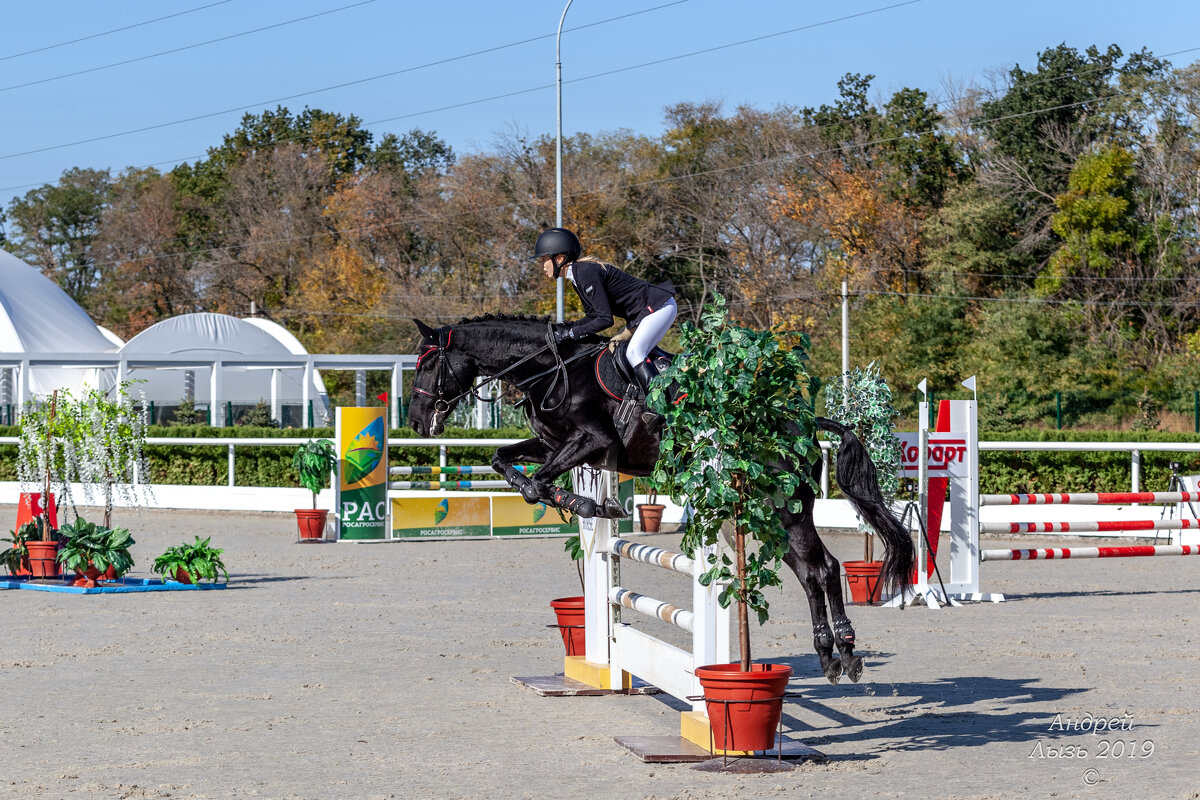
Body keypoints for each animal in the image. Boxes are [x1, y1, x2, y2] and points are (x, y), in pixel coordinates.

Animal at [408, 311, 912, 681]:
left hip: (784, 508)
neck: (552, 371)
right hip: (761, 517)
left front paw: (588, 504)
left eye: (428, 364)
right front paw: (588, 504)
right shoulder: (553, 445)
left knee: (823, 568)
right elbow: (502, 460)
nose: (415, 422)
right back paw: (831, 656)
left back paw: (847, 651)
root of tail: (803, 425)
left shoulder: (590, 442)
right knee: (809, 573)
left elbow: (537, 483)